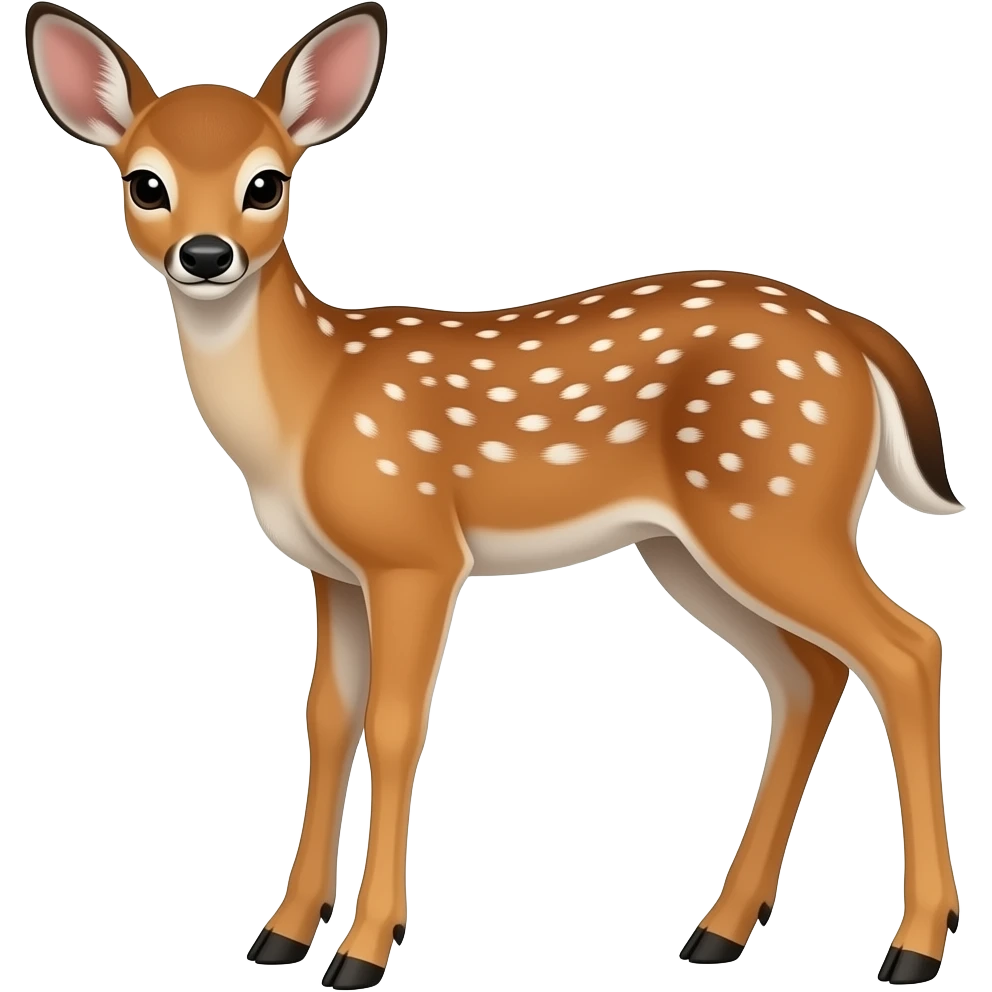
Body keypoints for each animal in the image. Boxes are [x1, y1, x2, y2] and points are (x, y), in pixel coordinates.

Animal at [24, 1, 966, 987]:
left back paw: (913, 945)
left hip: (776, 503)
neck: (308, 410)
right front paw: (280, 935)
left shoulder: (416, 548)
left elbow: (395, 725)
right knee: (809, 674)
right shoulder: (333, 571)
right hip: (691, 544)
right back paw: (719, 931)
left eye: (266, 183)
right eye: (145, 183)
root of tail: (856, 335)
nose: (207, 256)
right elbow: (327, 718)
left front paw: (363, 951)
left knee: (906, 647)